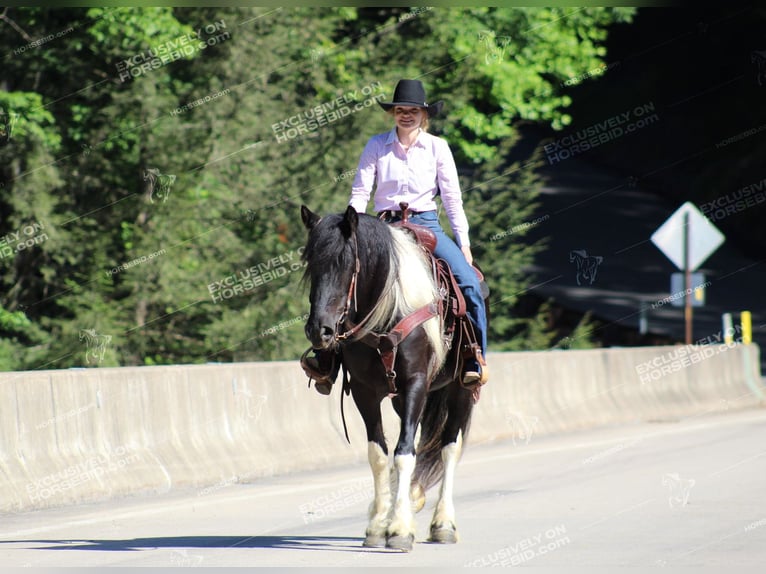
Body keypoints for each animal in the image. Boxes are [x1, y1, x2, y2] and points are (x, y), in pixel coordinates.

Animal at [302, 206, 476, 552]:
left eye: (345, 263)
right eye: (311, 264)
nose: (319, 330)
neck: (388, 314)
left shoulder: (416, 384)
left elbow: (404, 453)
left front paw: (399, 529)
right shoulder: (365, 392)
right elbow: (380, 455)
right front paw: (378, 525)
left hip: (459, 390)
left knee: (449, 447)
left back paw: (443, 524)